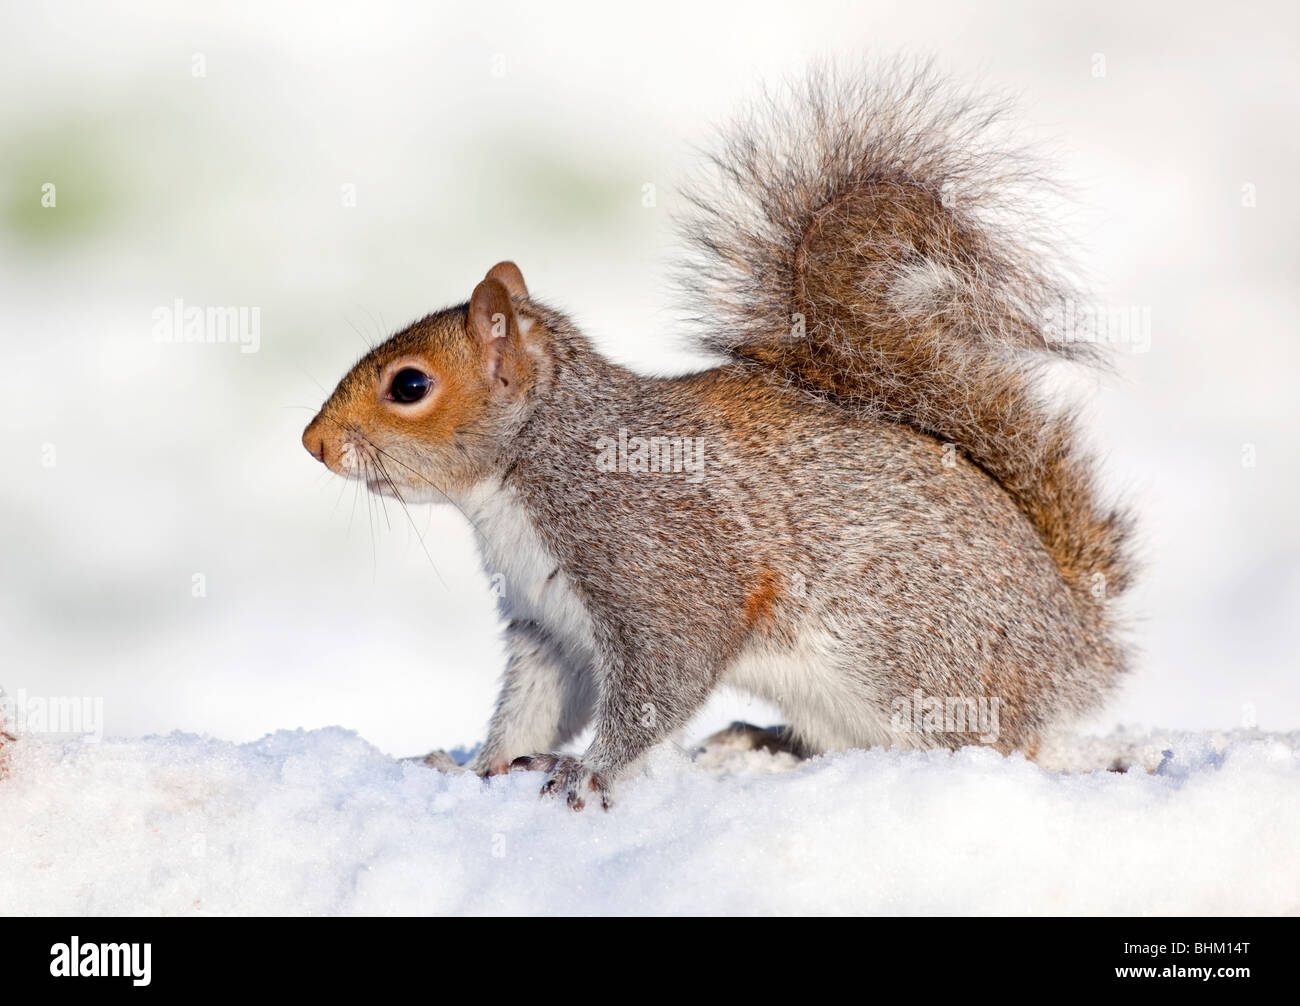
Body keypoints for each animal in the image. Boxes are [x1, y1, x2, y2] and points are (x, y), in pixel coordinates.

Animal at [301, 63, 1133, 811]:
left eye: (410, 386)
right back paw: (756, 740)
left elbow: (661, 680)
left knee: (1003, 743)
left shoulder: (662, 566)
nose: (314, 443)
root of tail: (1077, 642)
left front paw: (589, 775)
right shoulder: (550, 625)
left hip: (924, 664)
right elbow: (536, 706)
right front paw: (477, 767)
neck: (523, 475)